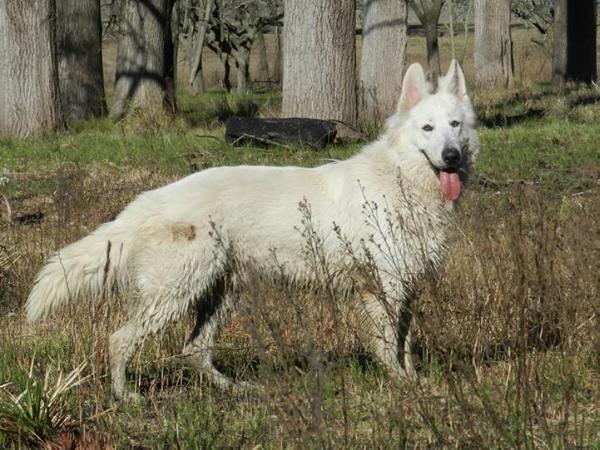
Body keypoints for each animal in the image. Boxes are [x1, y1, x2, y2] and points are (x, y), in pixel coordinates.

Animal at [25, 60, 480, 400]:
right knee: (120, 340)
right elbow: (389, 345)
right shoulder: (385, 287)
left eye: (455, 125)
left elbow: (405, 343)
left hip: (222, 294)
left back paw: (236, 389)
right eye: (427, 129)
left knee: (194, 351)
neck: (402, 178)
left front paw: (413, 379)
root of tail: (148, 200)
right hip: (174, 294)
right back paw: (125, 397)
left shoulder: (407, 286)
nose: (451, 156)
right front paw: (401, 385)